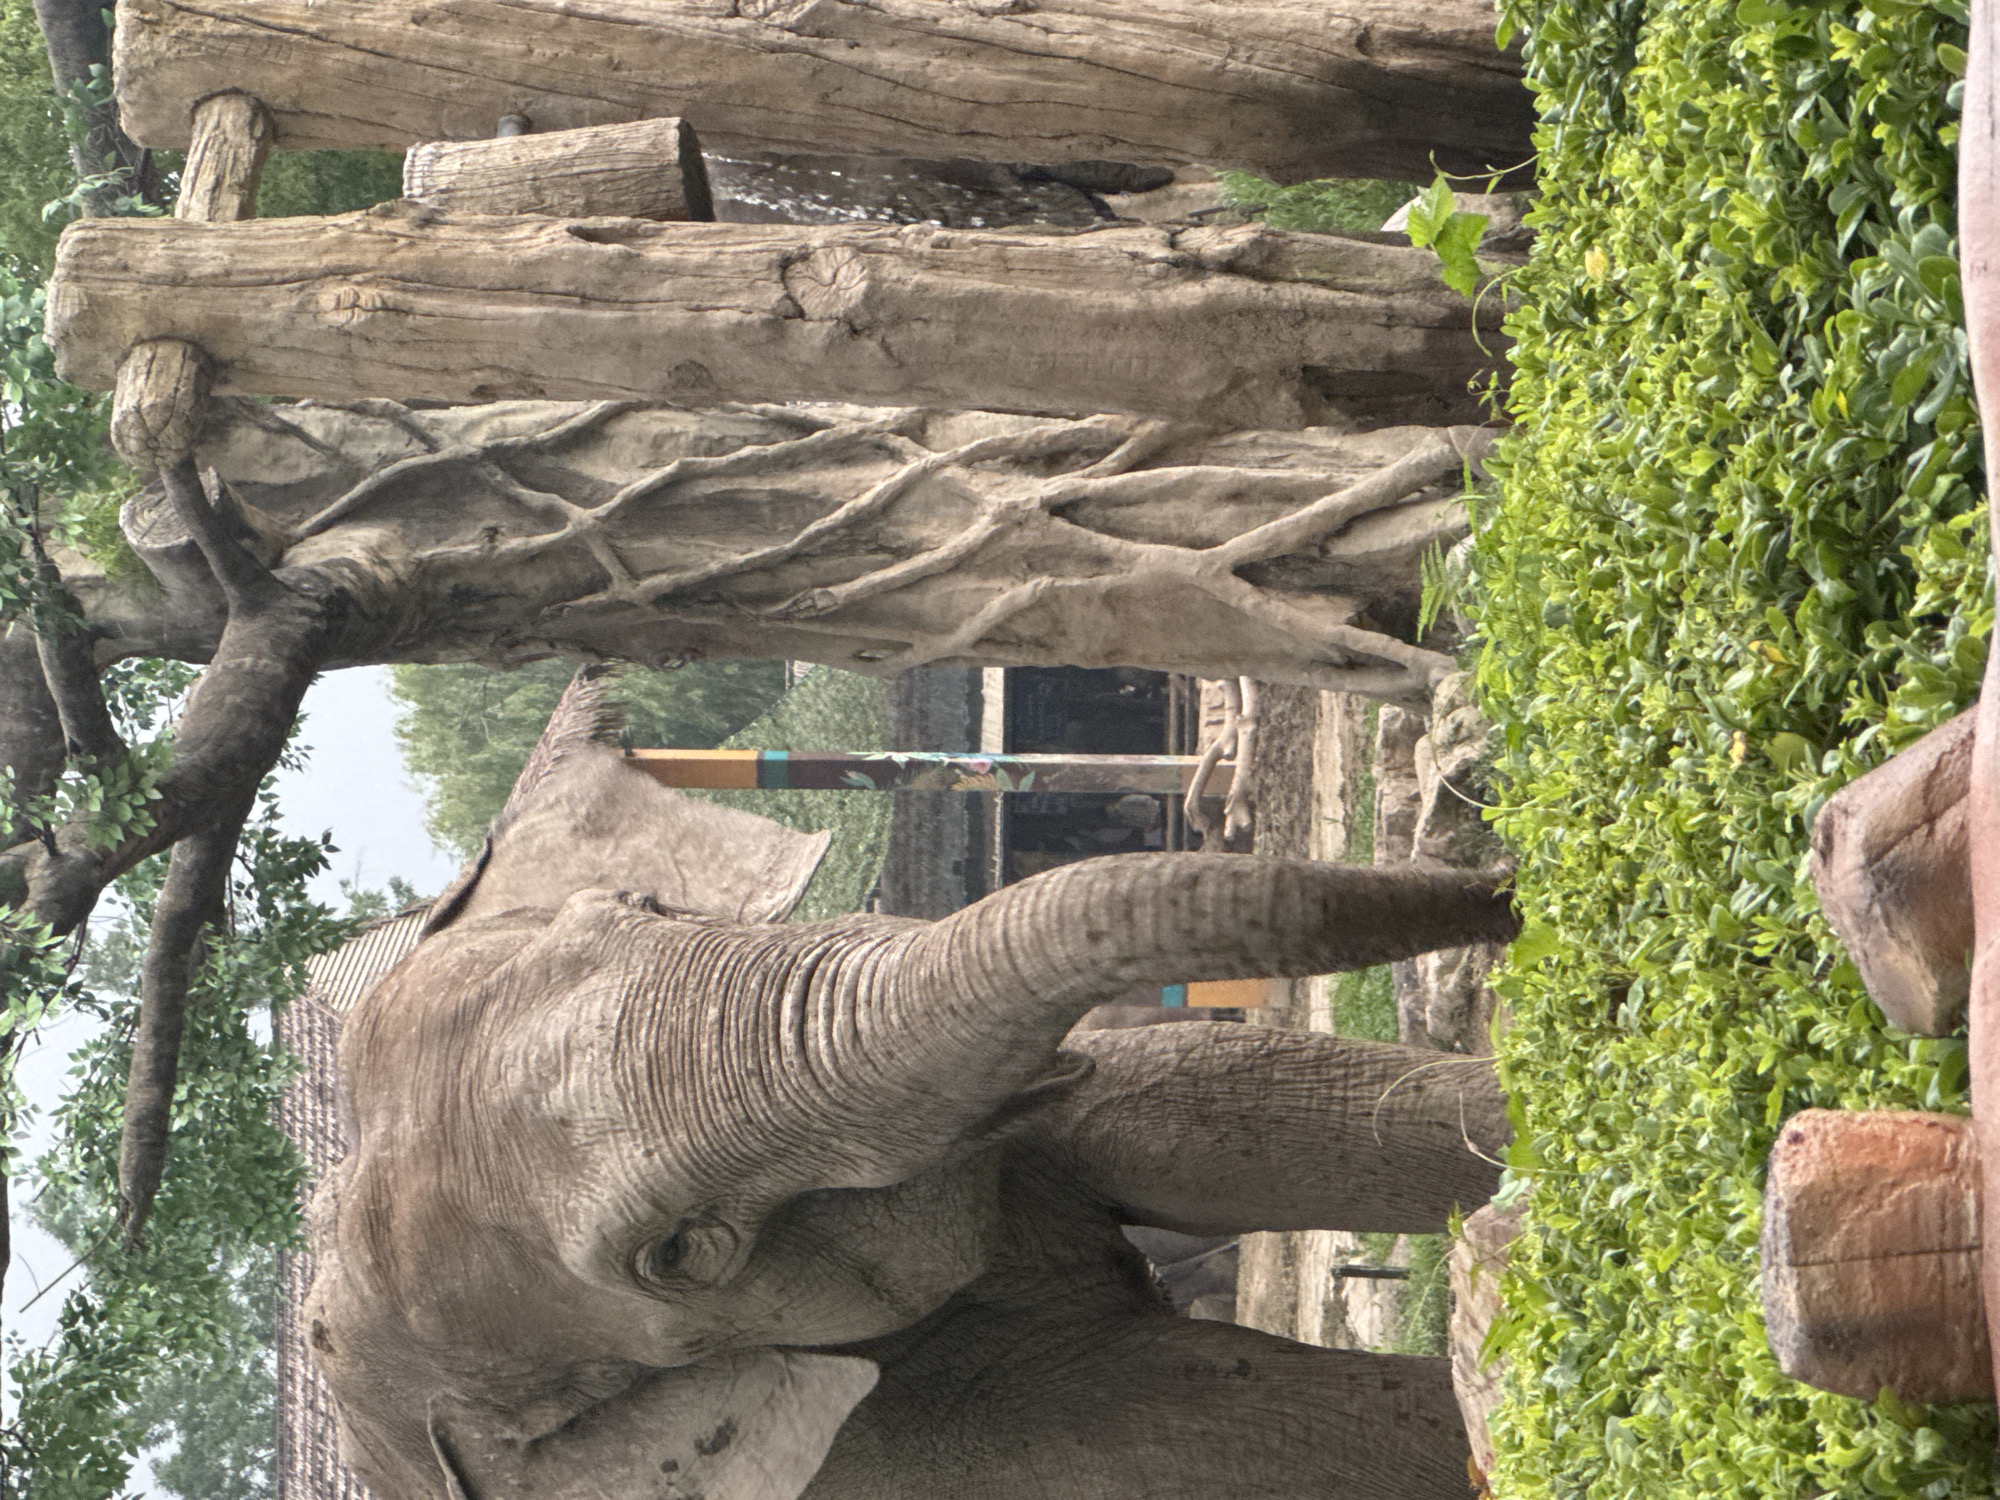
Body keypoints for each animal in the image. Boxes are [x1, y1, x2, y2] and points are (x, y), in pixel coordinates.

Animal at [307, 670, 1520, 1500]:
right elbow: (1236, 1435)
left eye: (638, 911)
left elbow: (1215, 1105)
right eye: (678, 1253)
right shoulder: (888, 1438)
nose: (1501, 884)